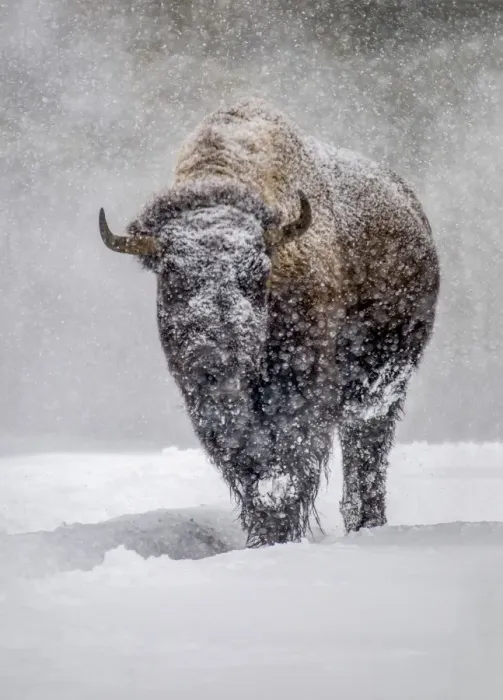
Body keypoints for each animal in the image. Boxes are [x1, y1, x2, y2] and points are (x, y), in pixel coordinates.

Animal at [98, 98, 440, 547]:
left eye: (258, 273)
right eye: (171, 275)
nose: (215, 357)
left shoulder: (303, 390)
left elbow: (288, 465)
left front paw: (278, 534)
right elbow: (249, 465)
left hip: (383, 385)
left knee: (366, 449)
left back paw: (366, 523)